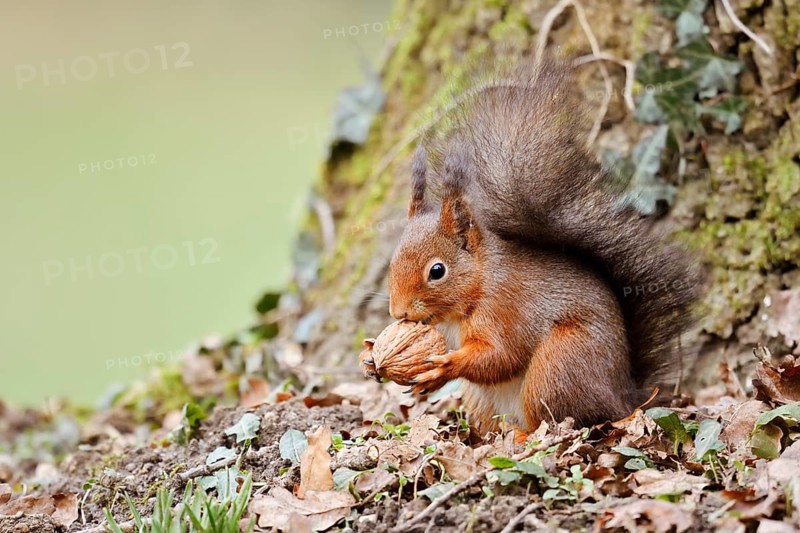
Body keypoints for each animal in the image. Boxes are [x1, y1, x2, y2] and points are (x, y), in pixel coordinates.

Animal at [370, 57, 702, 434]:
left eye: (437, 271)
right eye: (393, 262)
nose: (398, 312)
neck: (479, 285)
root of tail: (623, 396)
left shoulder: (507, 310)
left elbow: (501, 356)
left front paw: (444, 367)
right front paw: (375, 356)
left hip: (559, 365)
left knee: (555, 421)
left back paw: (523, 437)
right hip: (485, 398)